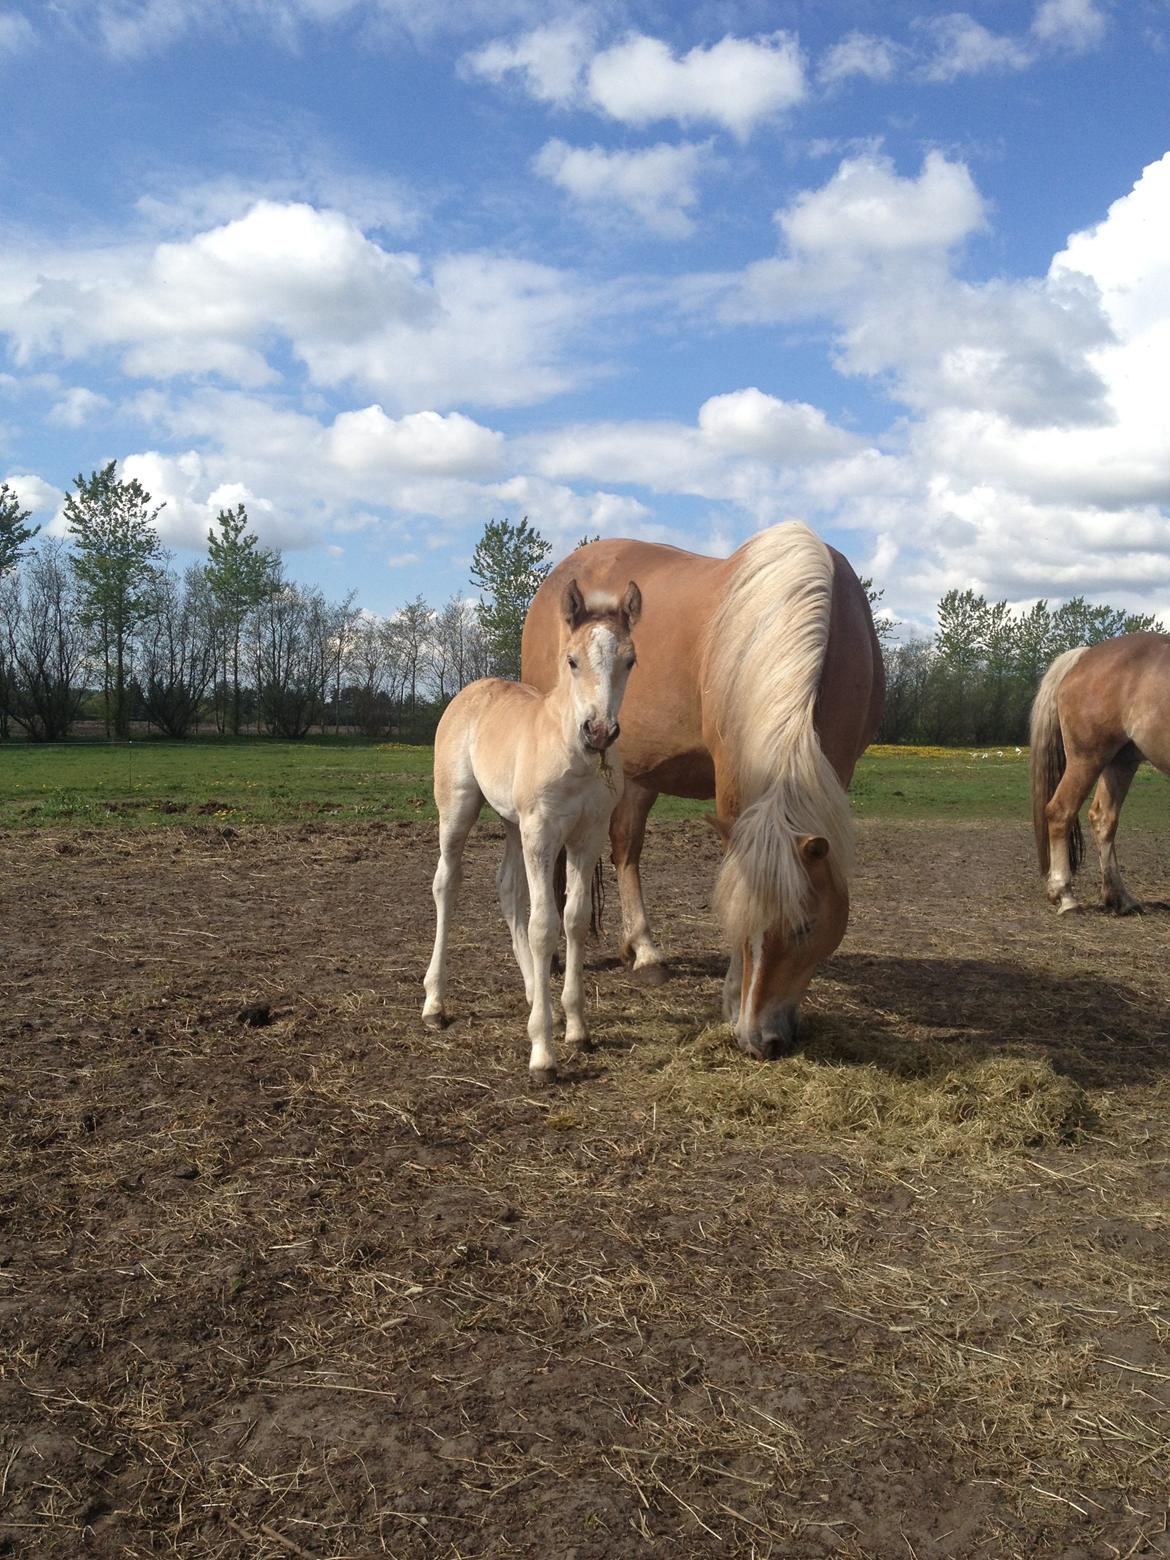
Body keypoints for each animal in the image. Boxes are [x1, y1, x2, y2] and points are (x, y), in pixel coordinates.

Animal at [421, 580, 642, 1079]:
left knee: (506, 888)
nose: (599, 731)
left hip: (511, 821)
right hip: (459, 808)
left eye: (630, 660)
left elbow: (574, 919)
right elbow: (544, 925)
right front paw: (542, 1051)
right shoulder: (542, 833)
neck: (574, 756)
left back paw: (531, 993)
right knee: (446, 883)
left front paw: (575, 1027)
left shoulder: (586, 836)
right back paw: (435, 1004)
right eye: (572, 660)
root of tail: (473, 689)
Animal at [524, 524, 886, 1060]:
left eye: (805, 926)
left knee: (626, 849)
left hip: (639, 775)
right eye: (736, 919)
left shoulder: (840, 768)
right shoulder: (732, 769)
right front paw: (734, 998)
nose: (760, 1039)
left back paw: (643, 951)